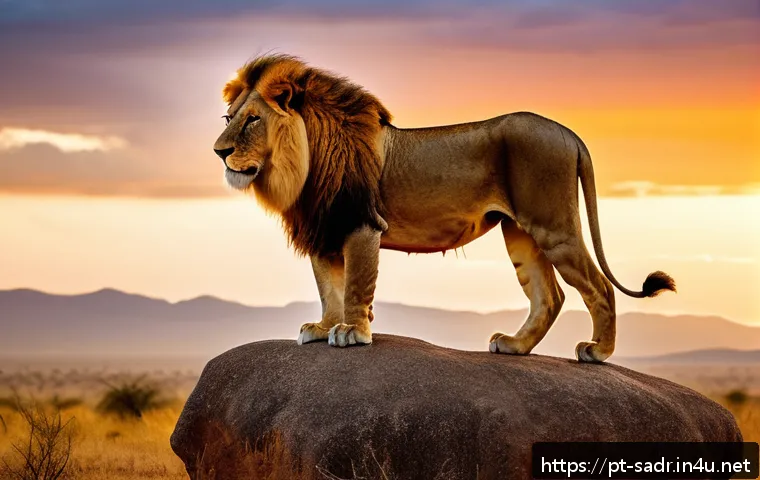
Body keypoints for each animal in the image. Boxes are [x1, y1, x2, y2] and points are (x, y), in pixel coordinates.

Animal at [213, 54, 676, 362]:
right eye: (229, 118)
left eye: (253, 120)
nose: (219, 151)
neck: (301, 162)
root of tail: (570, 133)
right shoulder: (326, 230)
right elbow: (330, 288)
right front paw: (324, 327)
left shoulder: (361, 225)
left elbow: (355, 286)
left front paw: (351, 332)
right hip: (519, 232)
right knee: (550, 296)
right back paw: (514, 346)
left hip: (553, 225)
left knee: (598, 288)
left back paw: (598, 351)